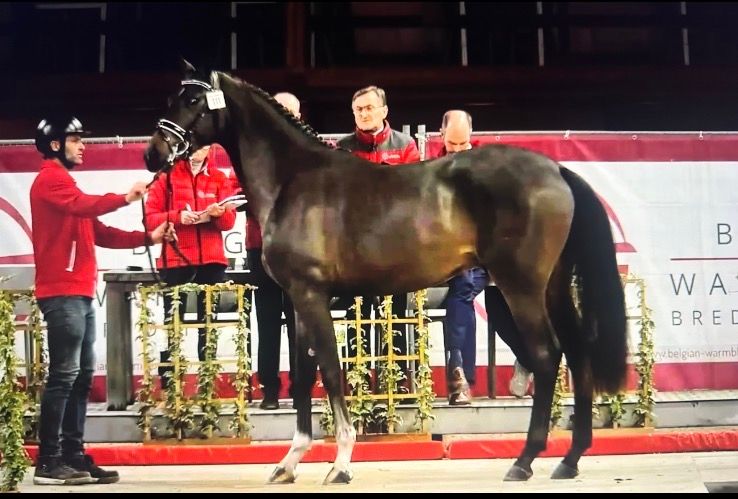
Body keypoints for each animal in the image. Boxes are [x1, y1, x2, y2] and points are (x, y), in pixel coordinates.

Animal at [143, 60, 627, 485]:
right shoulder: (295, 301)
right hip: (553, 287)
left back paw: (524, 461)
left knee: (547, 356)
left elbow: (330, 371)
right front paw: (289, 462)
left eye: (192, 100)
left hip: (520, 287)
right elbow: (303, 375)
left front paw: (340, 464)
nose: (152, 154)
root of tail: (555, 169)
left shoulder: (311, 295)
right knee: (577, 350)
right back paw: (570, 458)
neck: (294, 180)